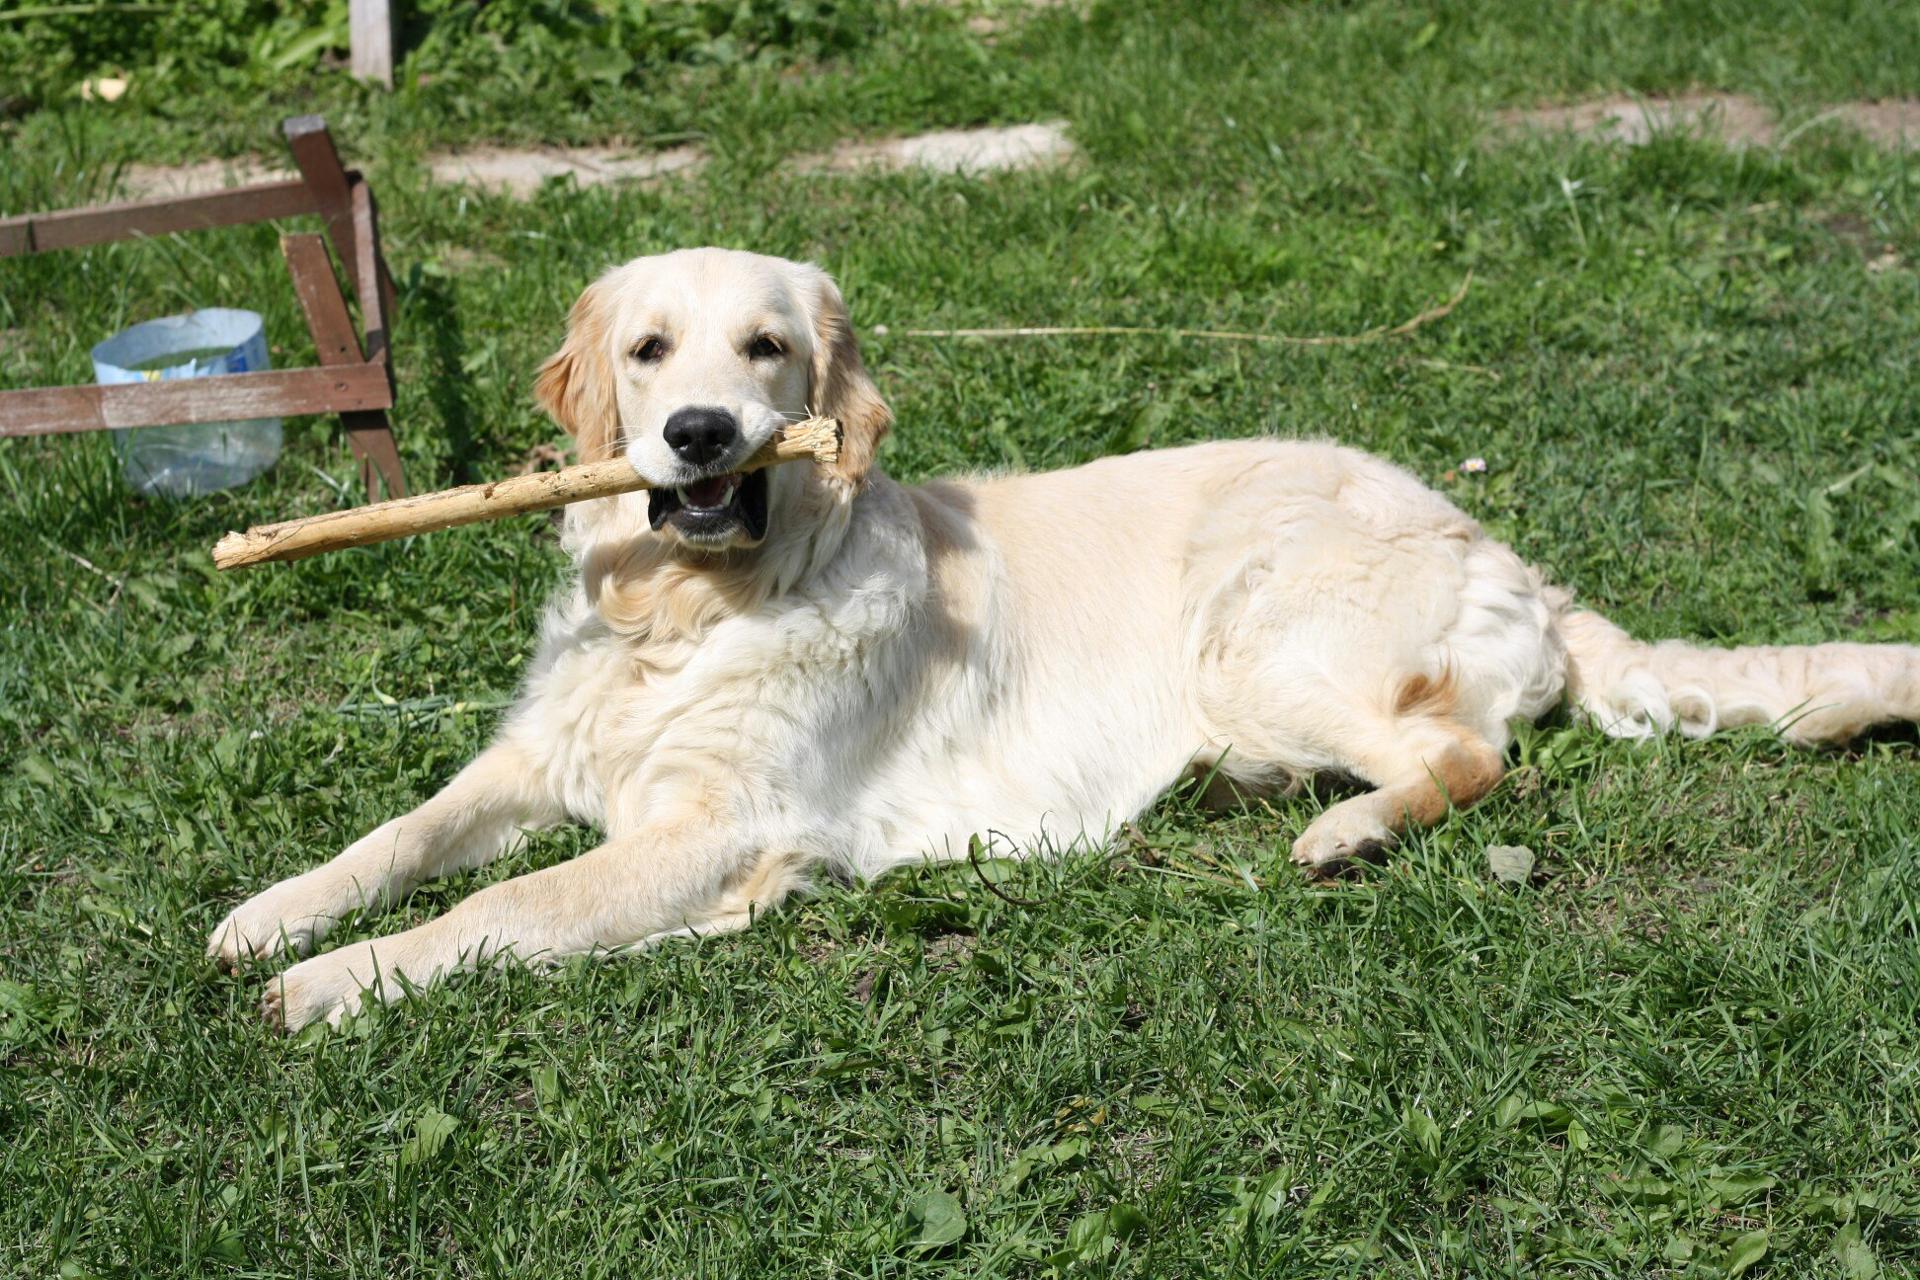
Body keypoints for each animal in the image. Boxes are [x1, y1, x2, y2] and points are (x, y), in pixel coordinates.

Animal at [210, 247, 1920, 1028]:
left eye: (765, 350)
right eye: (646, 352)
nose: (699, 434)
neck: (689, 616)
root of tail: (1495, 542)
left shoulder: (713, 833)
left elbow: (505, 908)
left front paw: (341, 980)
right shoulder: (539, 754)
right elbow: (400, 835)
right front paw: (272, 918)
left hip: (1259, 640)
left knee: (1472, 755)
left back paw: (1348, 832)